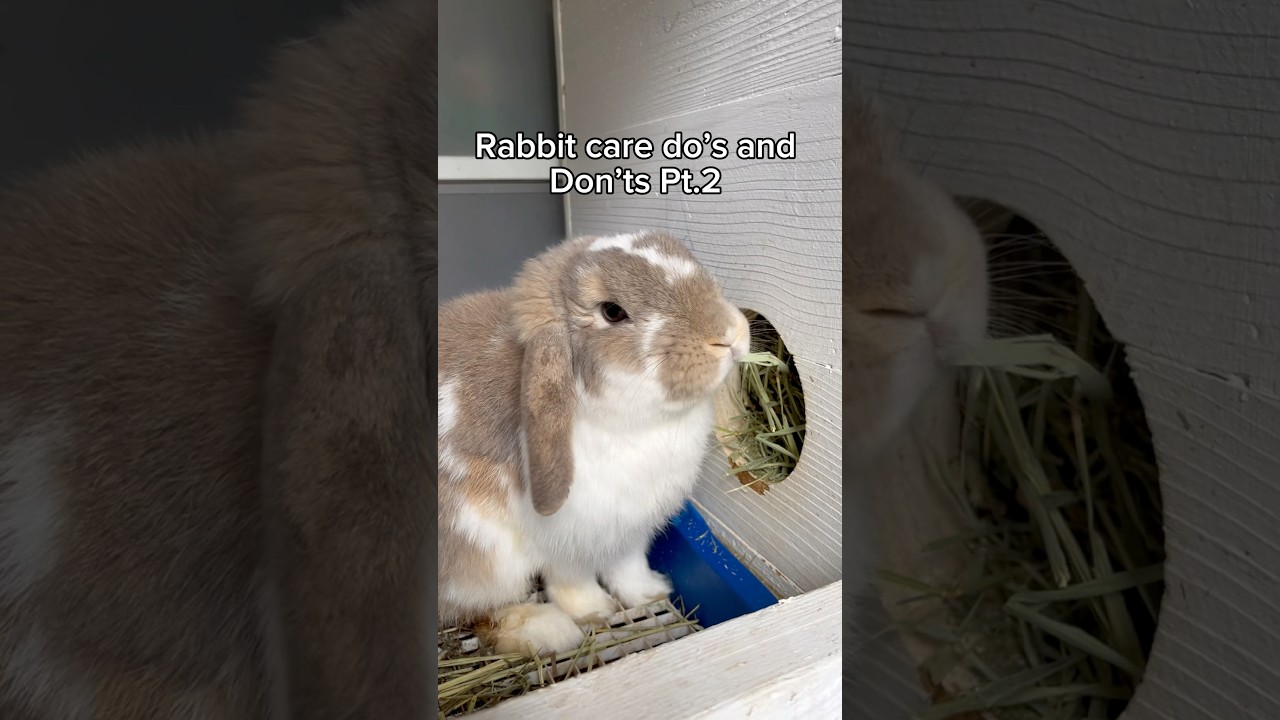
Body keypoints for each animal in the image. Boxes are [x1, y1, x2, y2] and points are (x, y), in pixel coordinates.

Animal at [438, 231, 751, 655]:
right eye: (613, 311)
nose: (729, 335)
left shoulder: (630, 531)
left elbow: (629, 566)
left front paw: (651, 593)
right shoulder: (567, 541)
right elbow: (573, 580)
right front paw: (595, 611)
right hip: (480, 562)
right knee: (477, 613)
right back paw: (550, 629)